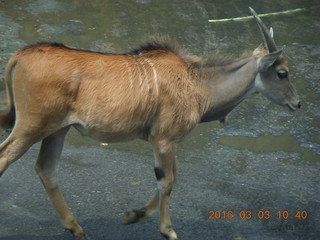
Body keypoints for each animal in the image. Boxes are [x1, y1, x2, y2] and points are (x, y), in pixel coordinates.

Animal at [0, 7, 300, 240]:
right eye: (282, 73)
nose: (297, 104)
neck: (198, 83)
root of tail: (22, 54)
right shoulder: (164, 140)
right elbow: (167, 180)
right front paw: (167, 230)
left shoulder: (166, 142)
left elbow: (171, 176)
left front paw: (134, 215)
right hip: (32, 126)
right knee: (6, 157)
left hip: (57, 130)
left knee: (46, 169)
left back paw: (77, 229)